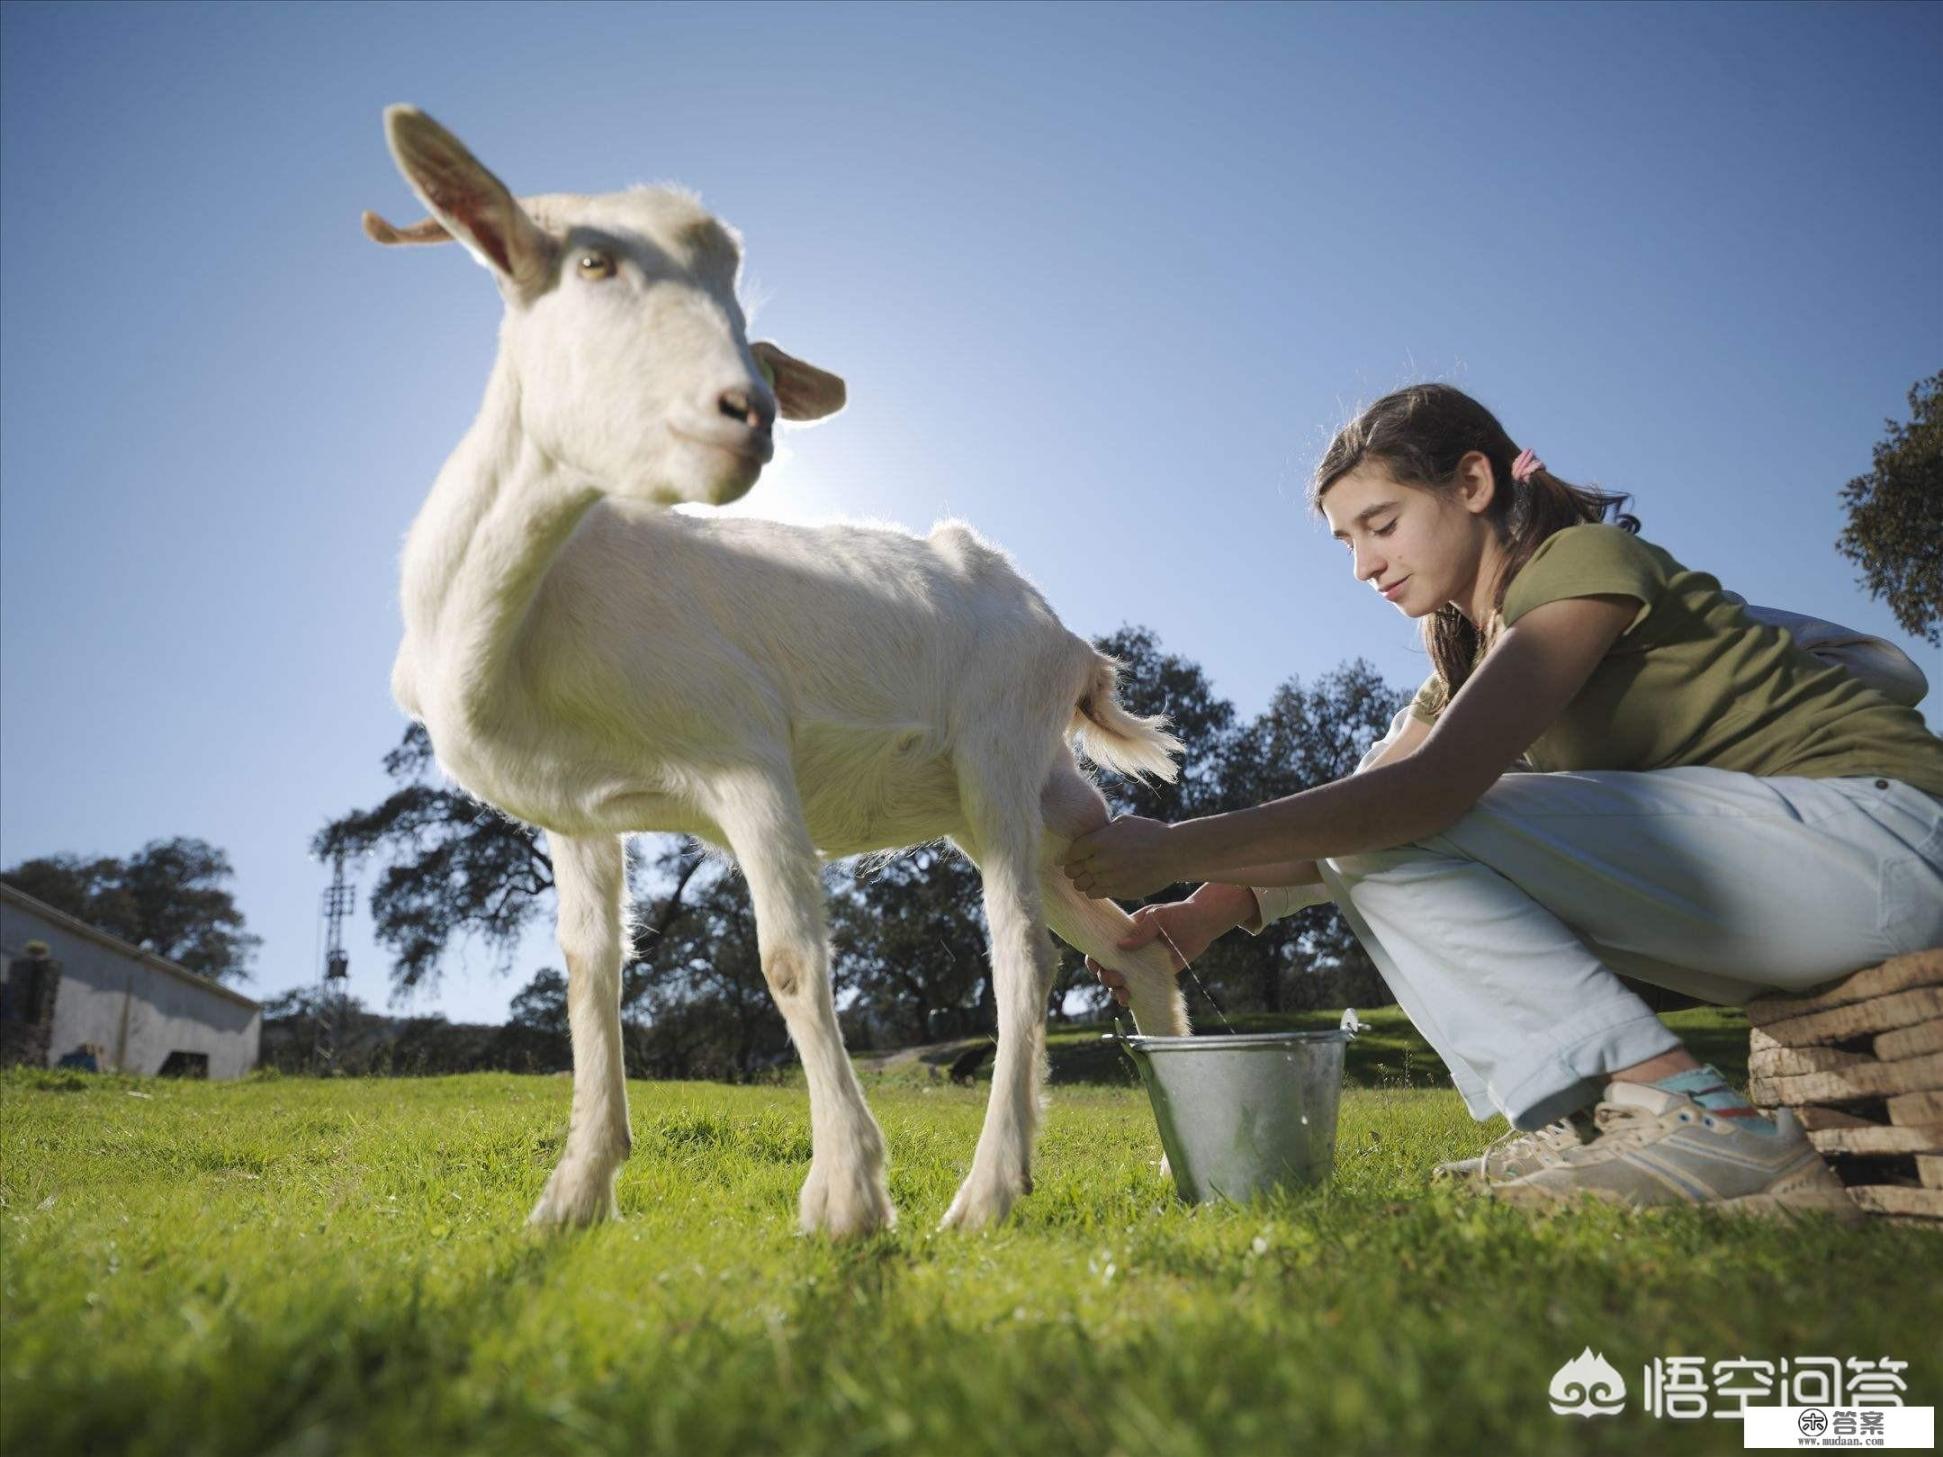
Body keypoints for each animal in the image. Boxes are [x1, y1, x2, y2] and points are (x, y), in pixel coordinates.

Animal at [363, 108, 1181, 1235]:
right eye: (592, 260)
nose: (744, 411)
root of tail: (1067, 640)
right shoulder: (575, 814)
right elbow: (588, 975)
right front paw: (572, 1195)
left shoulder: (744, 755)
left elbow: (789, 959)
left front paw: (845, 1196)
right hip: (1037, 805)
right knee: (1130, 940)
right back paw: (1175, 1166)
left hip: (999, 751)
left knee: (1023, 951)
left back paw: (983, 1193)